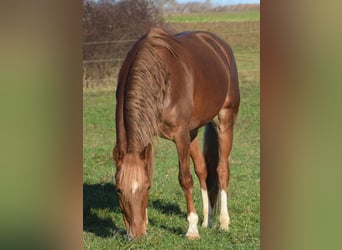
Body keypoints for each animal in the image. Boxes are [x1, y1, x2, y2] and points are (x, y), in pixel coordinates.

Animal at [113, 26, 239, 238]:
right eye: (119, 190)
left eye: (147, 188)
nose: (136, 235)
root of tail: (219, 45)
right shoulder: (151, 133)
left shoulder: (180, 136)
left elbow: (185, 179)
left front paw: (192, 229)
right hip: (192, 131)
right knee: (203, 170)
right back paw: (207, 220)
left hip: (224, 121)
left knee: (222, 169)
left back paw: (223, 222)